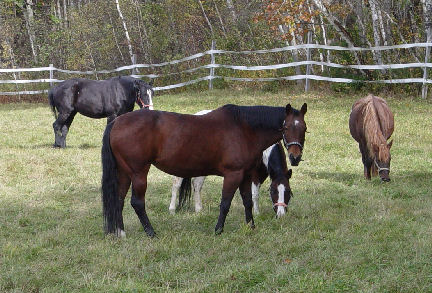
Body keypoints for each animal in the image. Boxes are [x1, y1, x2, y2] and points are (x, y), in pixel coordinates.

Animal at [101, 102, 308, 235]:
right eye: (286, 127)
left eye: (304, 128)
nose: (295, 157)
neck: (245, 128)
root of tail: (117, 122)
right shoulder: (233, 175)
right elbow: (225, 203)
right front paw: (218, 230)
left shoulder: (246, 175)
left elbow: (248, 201)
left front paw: (251, 226)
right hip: (138, 173)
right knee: (137, 202)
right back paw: (151, 232)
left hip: (124, 173)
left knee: (118, 200)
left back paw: (120, 232)